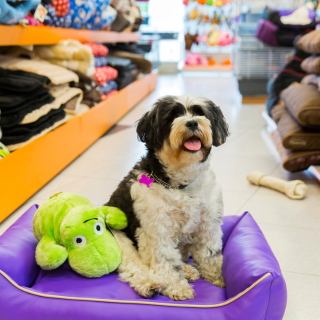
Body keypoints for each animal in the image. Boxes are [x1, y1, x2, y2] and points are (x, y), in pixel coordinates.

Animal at [106, 94, 229, 302]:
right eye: (172, 116)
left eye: (200, 113)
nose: (192, 122)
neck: (181, 185)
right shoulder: (157, 231)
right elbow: (167, 262)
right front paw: (176, 287)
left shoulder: (208, 226)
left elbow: (210, 255)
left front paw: (219, 278)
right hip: (117, 238)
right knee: (133, 265)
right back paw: (151, 284)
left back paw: (188, 270)